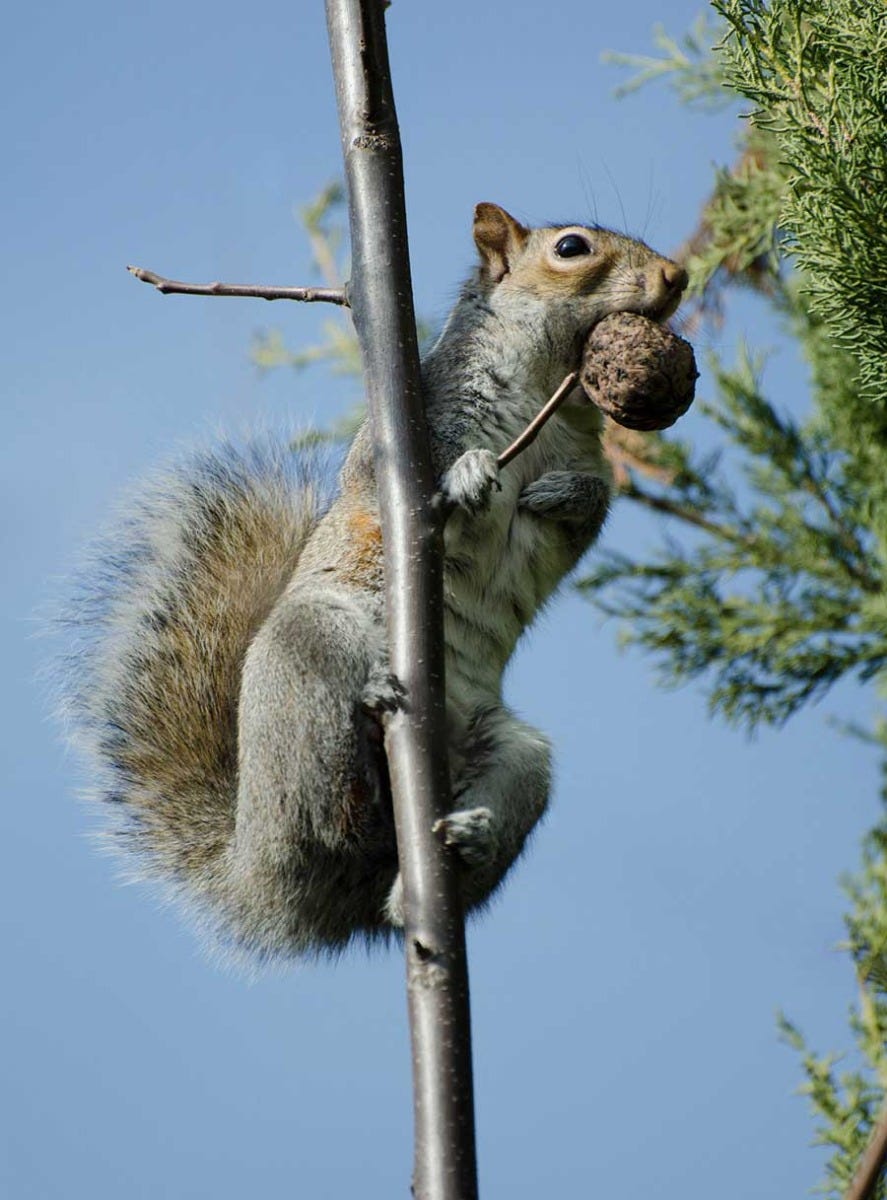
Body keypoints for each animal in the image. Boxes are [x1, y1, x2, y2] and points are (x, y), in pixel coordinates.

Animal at [64, 201, 686, 960]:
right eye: (571, 249)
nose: (675, 276)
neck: (545, 391)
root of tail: (262, 877)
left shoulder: (588, 472)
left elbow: (588, 514)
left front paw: (559, 494)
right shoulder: (399, 443)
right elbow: (395, 477)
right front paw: (472, 474)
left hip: (517, 756)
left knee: (408, 877)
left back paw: (465, 842)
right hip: (310, 649)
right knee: (324, 815)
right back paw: (367, 715)